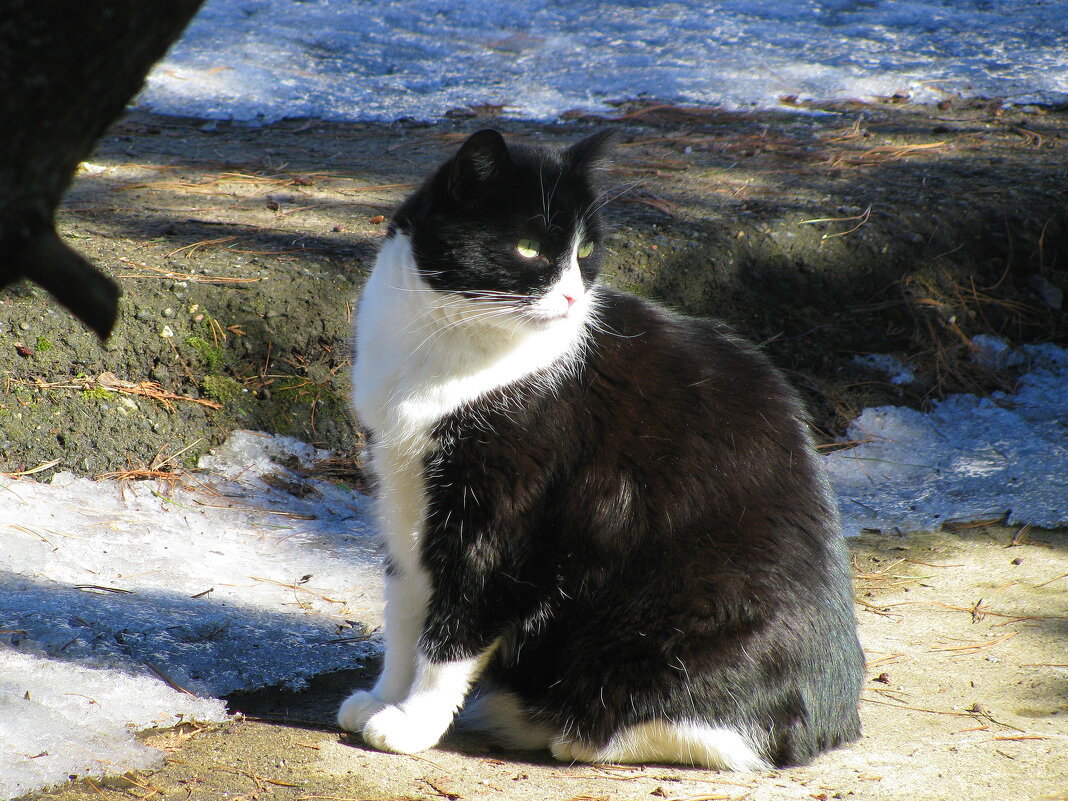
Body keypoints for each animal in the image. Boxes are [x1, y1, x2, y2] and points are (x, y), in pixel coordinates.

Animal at [337, 127, 862, 773]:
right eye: (530, 247)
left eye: (585, 249)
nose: (570, 296)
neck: (448, 349)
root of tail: (837, 720)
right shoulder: (402, 485)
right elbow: (405, 608)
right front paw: (384, 697)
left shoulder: (502, 511)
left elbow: (455, 626)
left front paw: (414, 722)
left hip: (695, 612)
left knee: (732, 734)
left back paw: (563, 728)